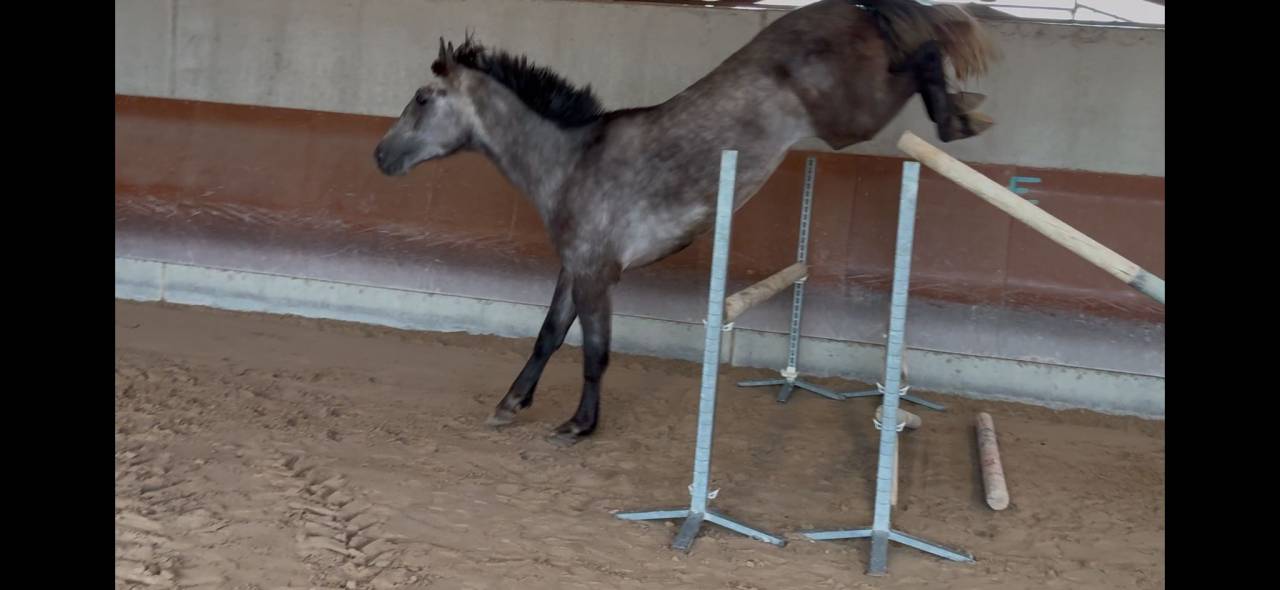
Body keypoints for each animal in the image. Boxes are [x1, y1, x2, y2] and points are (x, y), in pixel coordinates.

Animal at [373, 0, 999, 446]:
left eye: (423, 98)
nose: (380, 156)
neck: (571, 161)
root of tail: (850, 7)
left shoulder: (597, 275)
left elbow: (595, 352)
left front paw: (579, 425)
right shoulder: (575, 268)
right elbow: (549, 335)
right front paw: (510, 405)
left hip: (851, 119)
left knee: (923, 54)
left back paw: (961, 115)